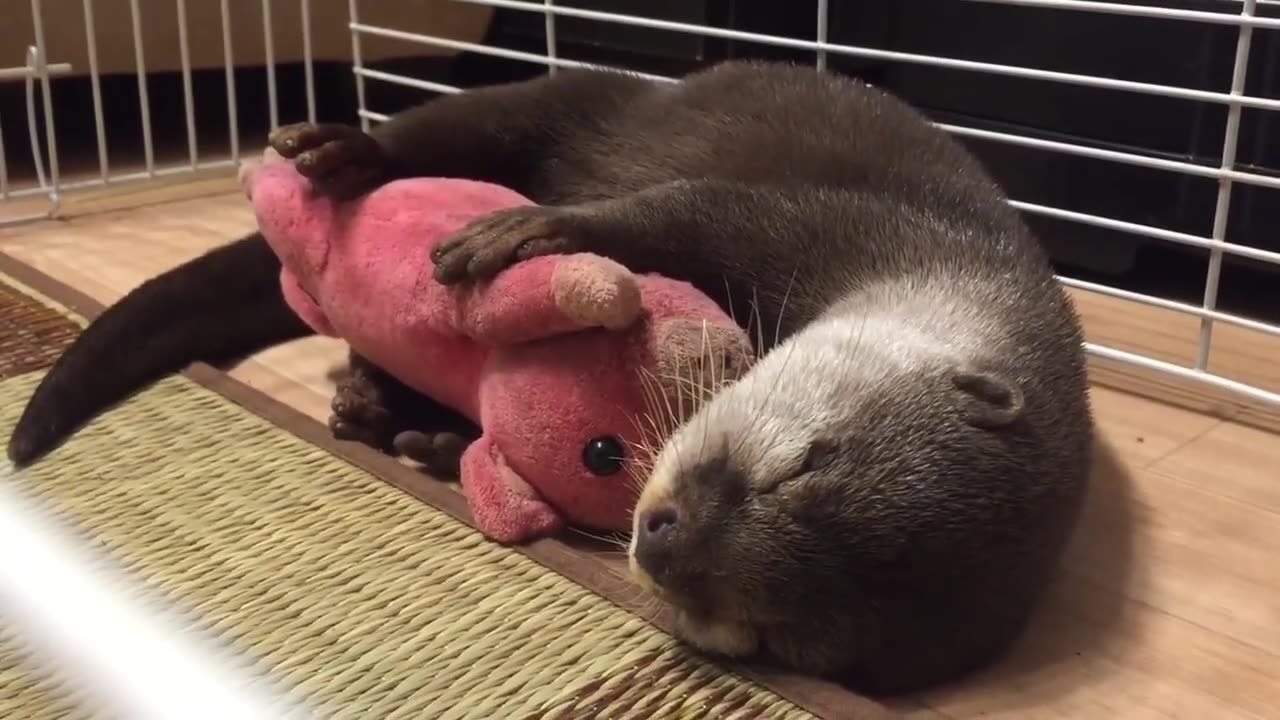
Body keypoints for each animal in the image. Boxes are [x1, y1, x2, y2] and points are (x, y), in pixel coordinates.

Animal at [5, 63, 1095, 696]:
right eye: (804, 464)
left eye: (781, 634)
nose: (663, 538)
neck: (942, 265)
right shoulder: (824, 224)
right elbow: (672, 214)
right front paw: (529, 236)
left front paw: (447, 446)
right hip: (571, 94)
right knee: (449, 128)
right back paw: (340, 154)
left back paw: (377, 407)